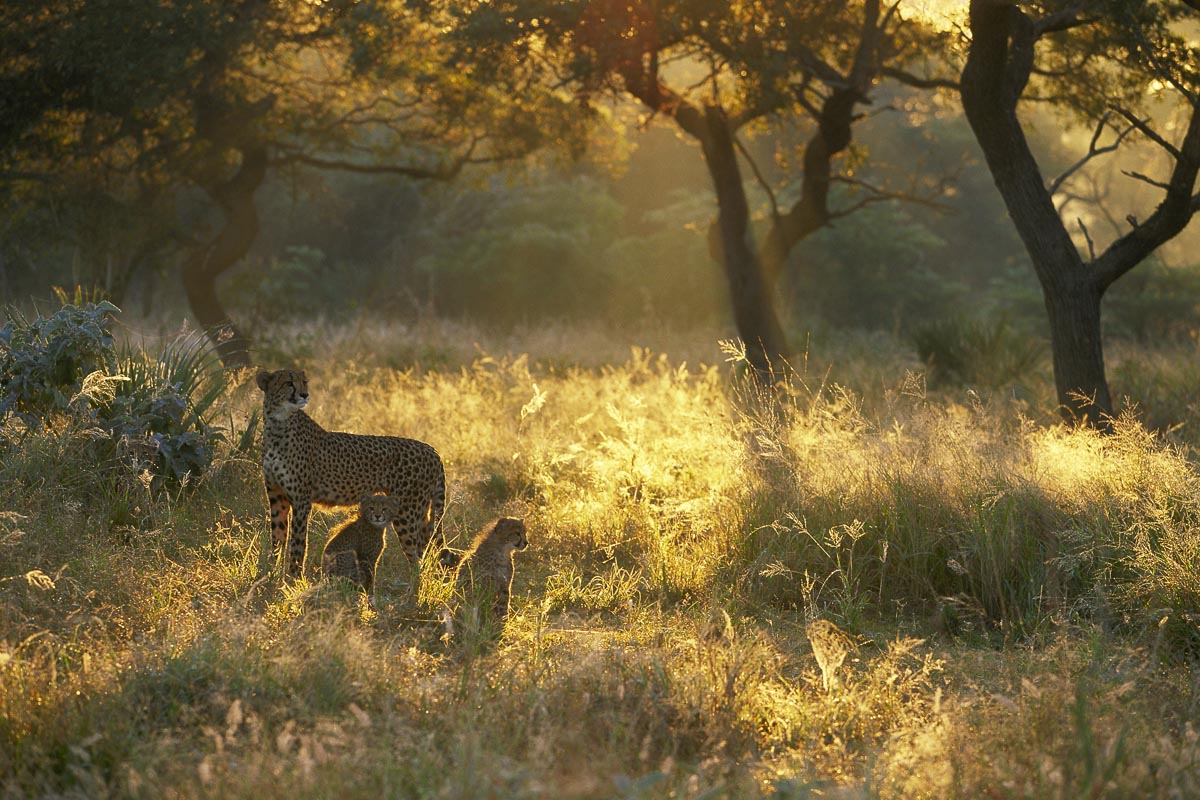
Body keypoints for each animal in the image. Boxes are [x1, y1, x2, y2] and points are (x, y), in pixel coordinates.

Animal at [256, 368, 451, 577]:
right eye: (289, 383)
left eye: (304, 382)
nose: (305, 394)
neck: (278, 424)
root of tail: (433, 450)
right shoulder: (277, 498)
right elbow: (277, 540)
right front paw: (270, 574)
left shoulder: (302, 501)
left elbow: (298, 543)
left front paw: (293, 577)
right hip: (420, 513)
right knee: (427, 548)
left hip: (406, 513)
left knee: (416, 558)